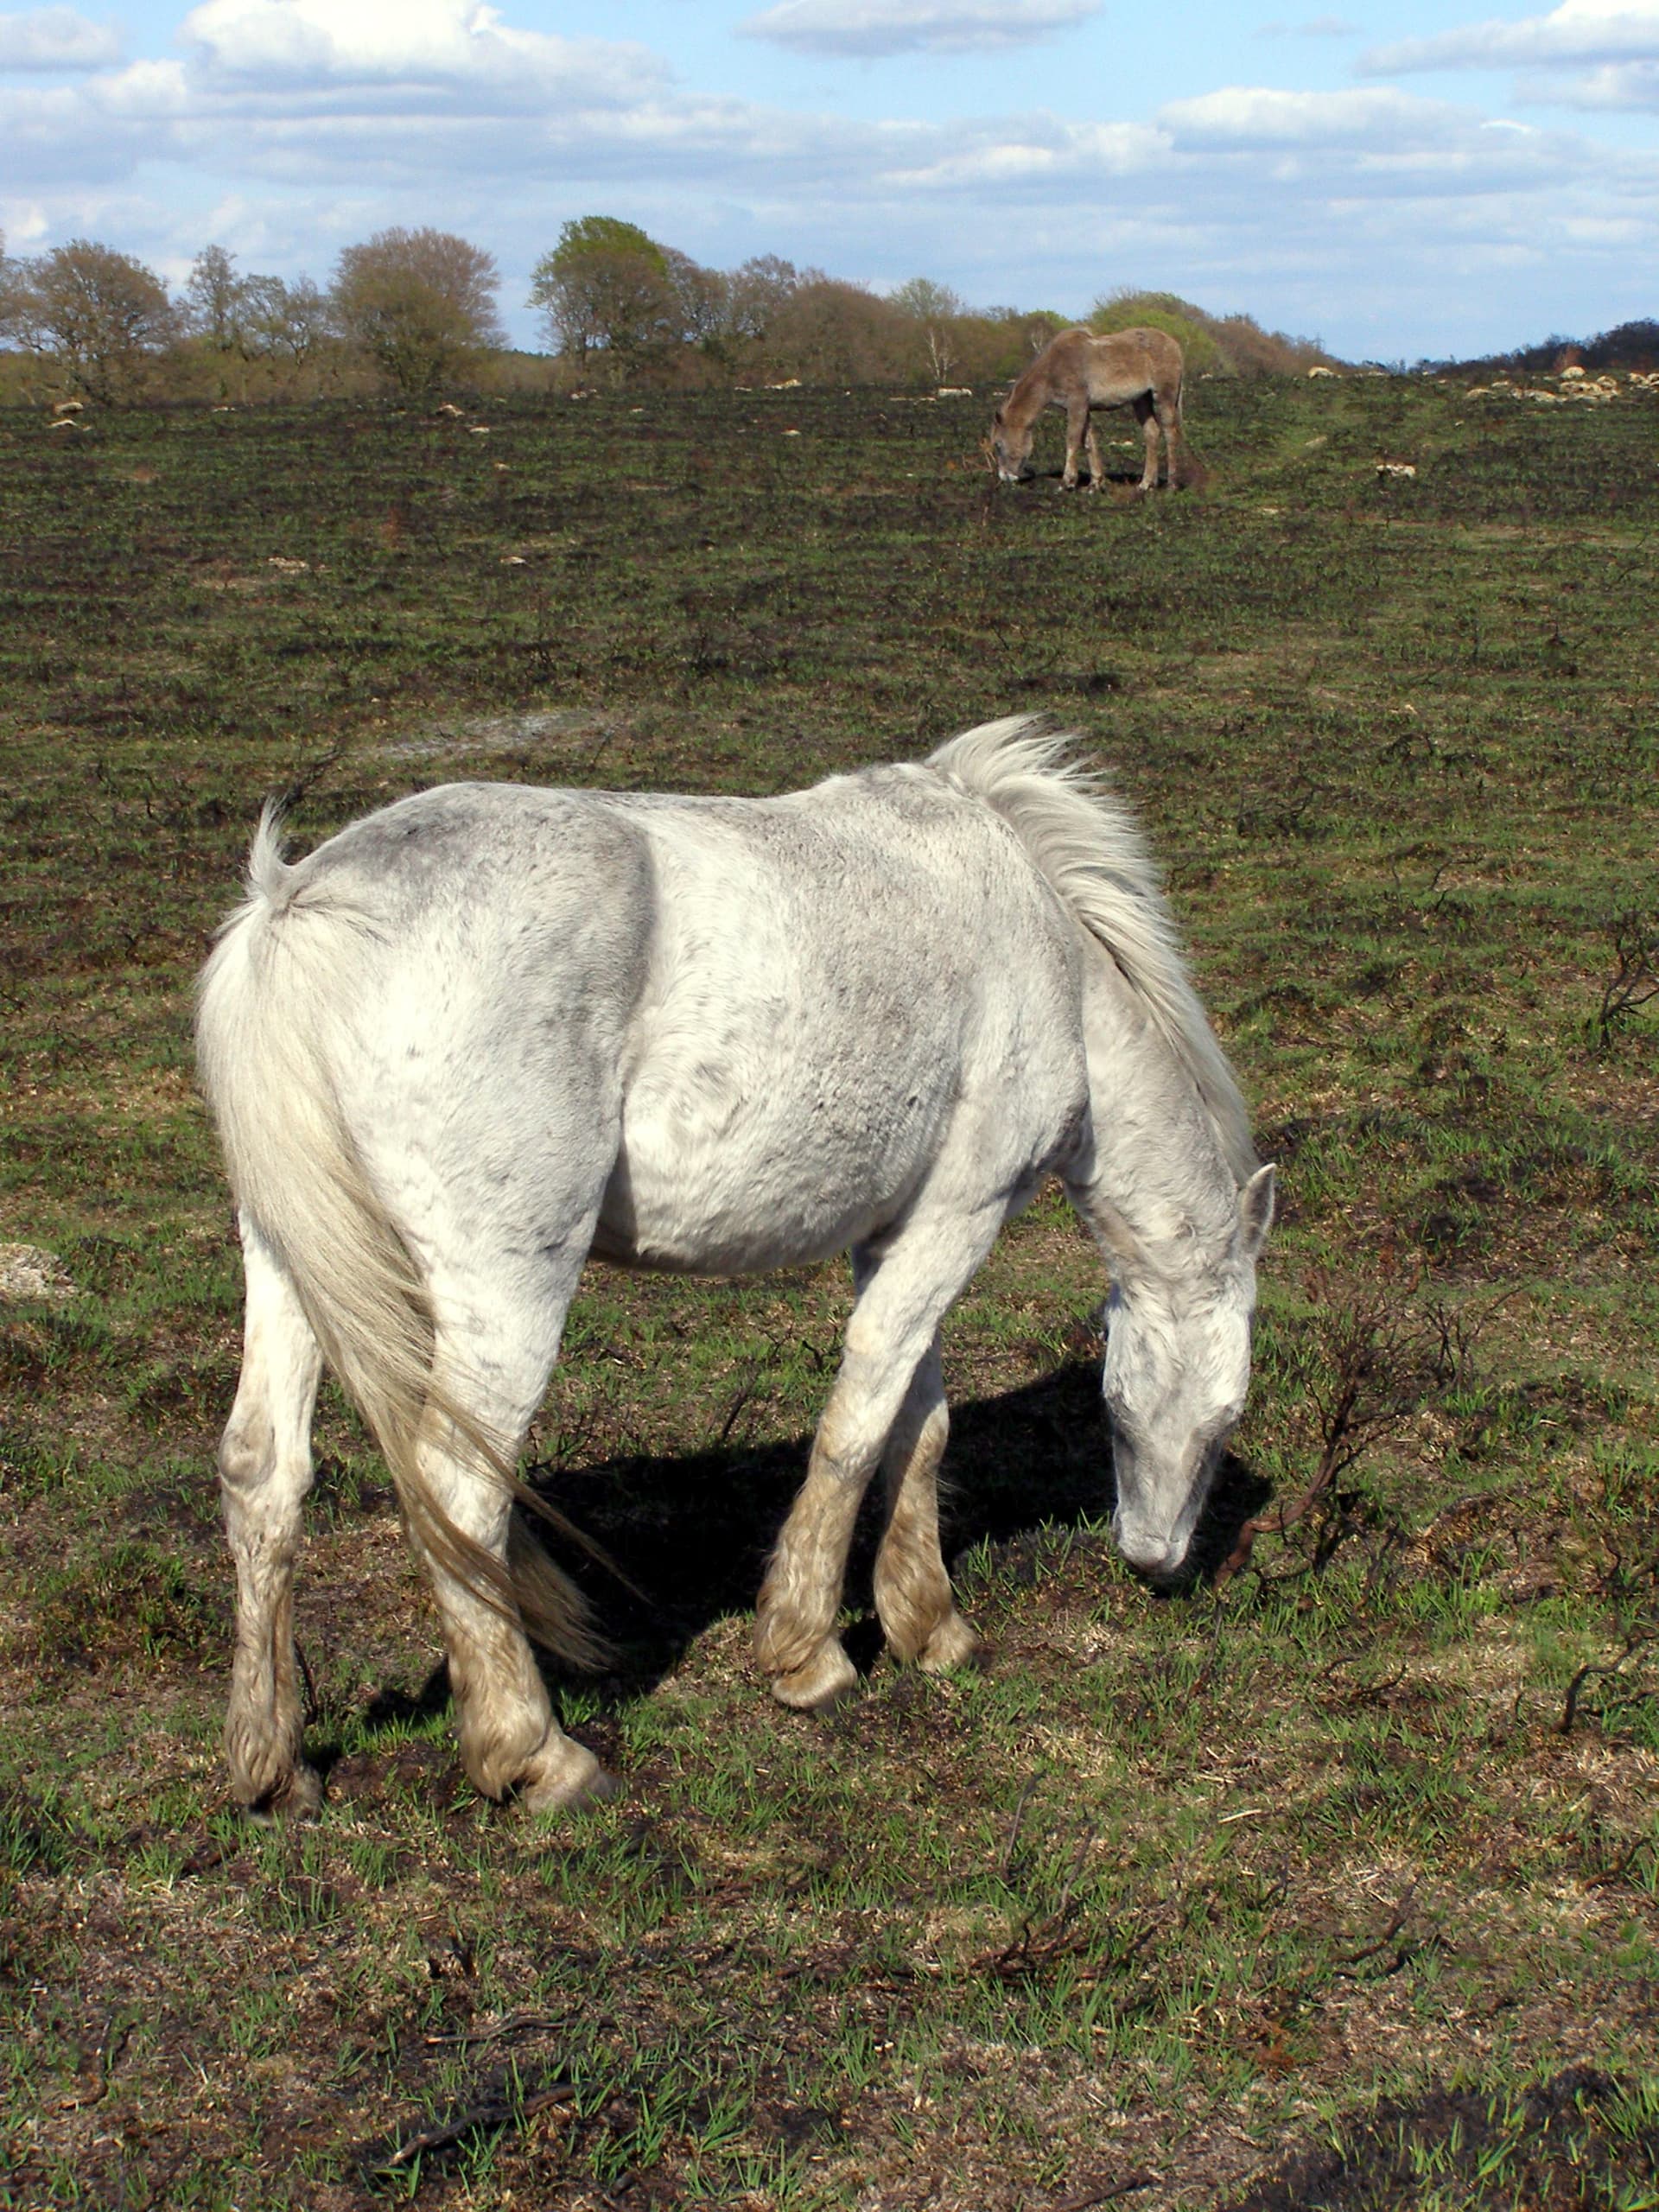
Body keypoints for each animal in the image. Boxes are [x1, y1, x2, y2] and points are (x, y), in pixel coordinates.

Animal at [197, 718, 1273, 1818]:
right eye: (1229, 1412)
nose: (1159, 1561)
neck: (1047, 949)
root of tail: (300, 902)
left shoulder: (897, 1231)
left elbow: (917, 1424)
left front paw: (928, 1625)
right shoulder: (959, 1217)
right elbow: (859, 1420)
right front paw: (806, 1653)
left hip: (285, 1267)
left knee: (263, 1473)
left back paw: (274, 1766)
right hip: (504, 1291)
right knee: (459, 1491)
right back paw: (535, 1752)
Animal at [991, 327, 1189, 493]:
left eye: (998, 445)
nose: (1005, 477)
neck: (1054, 367)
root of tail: (1174, 345)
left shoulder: (1076, 404)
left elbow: (1072, 439)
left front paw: (1067, 482)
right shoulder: (1083, 408)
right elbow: (1088, 441)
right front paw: (1095, 484)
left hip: (1164, 397)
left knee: (1170, 434)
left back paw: (1172, 484)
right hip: (1141, 400)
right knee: (1152, 433)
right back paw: (1146, 483)